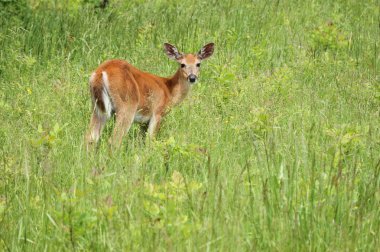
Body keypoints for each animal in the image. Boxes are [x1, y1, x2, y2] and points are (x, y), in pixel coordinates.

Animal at [86, 42, 215, 150]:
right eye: (182, 64)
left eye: (198, 64)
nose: (192, 78)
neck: (169, 91)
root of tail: (101, 72)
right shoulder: (157, 113)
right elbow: (150, 141)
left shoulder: (144, 121)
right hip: (127, 105)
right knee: (114, 140)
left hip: (97, 107)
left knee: (91, 137)